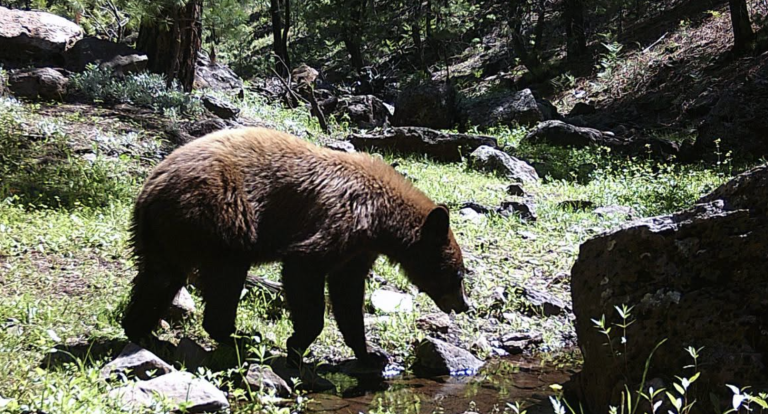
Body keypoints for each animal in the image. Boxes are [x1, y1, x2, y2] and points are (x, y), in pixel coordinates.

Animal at [121, 127, 469, 369]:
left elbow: (347, 295)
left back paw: (142, 332)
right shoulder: (342, 219)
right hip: (219, 216)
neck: (381, 218)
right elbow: (305, 267)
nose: (464, 305)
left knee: (158, 278)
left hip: (164, 233)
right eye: (460, 274)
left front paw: (370, 354)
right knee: (224, 277)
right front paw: (295, 346)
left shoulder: (358, 249)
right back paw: (240, 338)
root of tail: (149, 191)